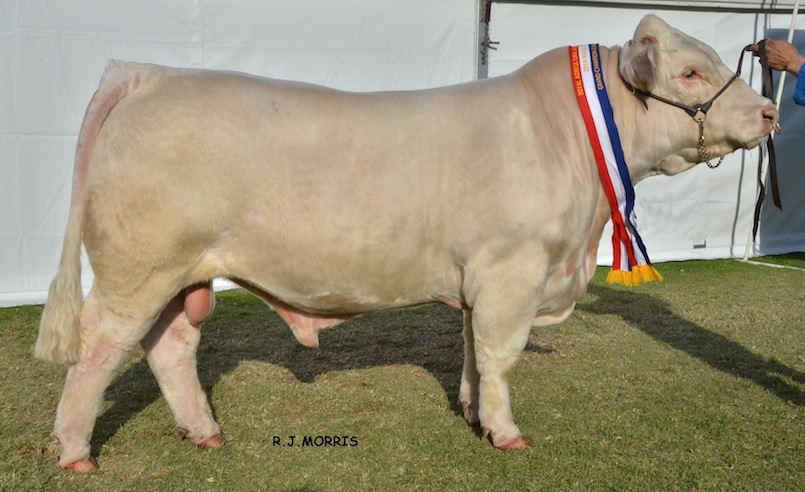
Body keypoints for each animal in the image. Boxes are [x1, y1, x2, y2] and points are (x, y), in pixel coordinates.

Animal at [34, 14, 776, 468]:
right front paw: (506, 433)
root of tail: (149, 74)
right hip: (138, 268)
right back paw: (74, 451)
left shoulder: (482, 279)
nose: (769, 110)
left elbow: (473, 350)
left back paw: (205, 432)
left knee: (171, 346)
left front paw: (474, 413)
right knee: (100, 349)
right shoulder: (513, 269)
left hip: (179, 272)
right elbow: (501, 354)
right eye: (689, 72)